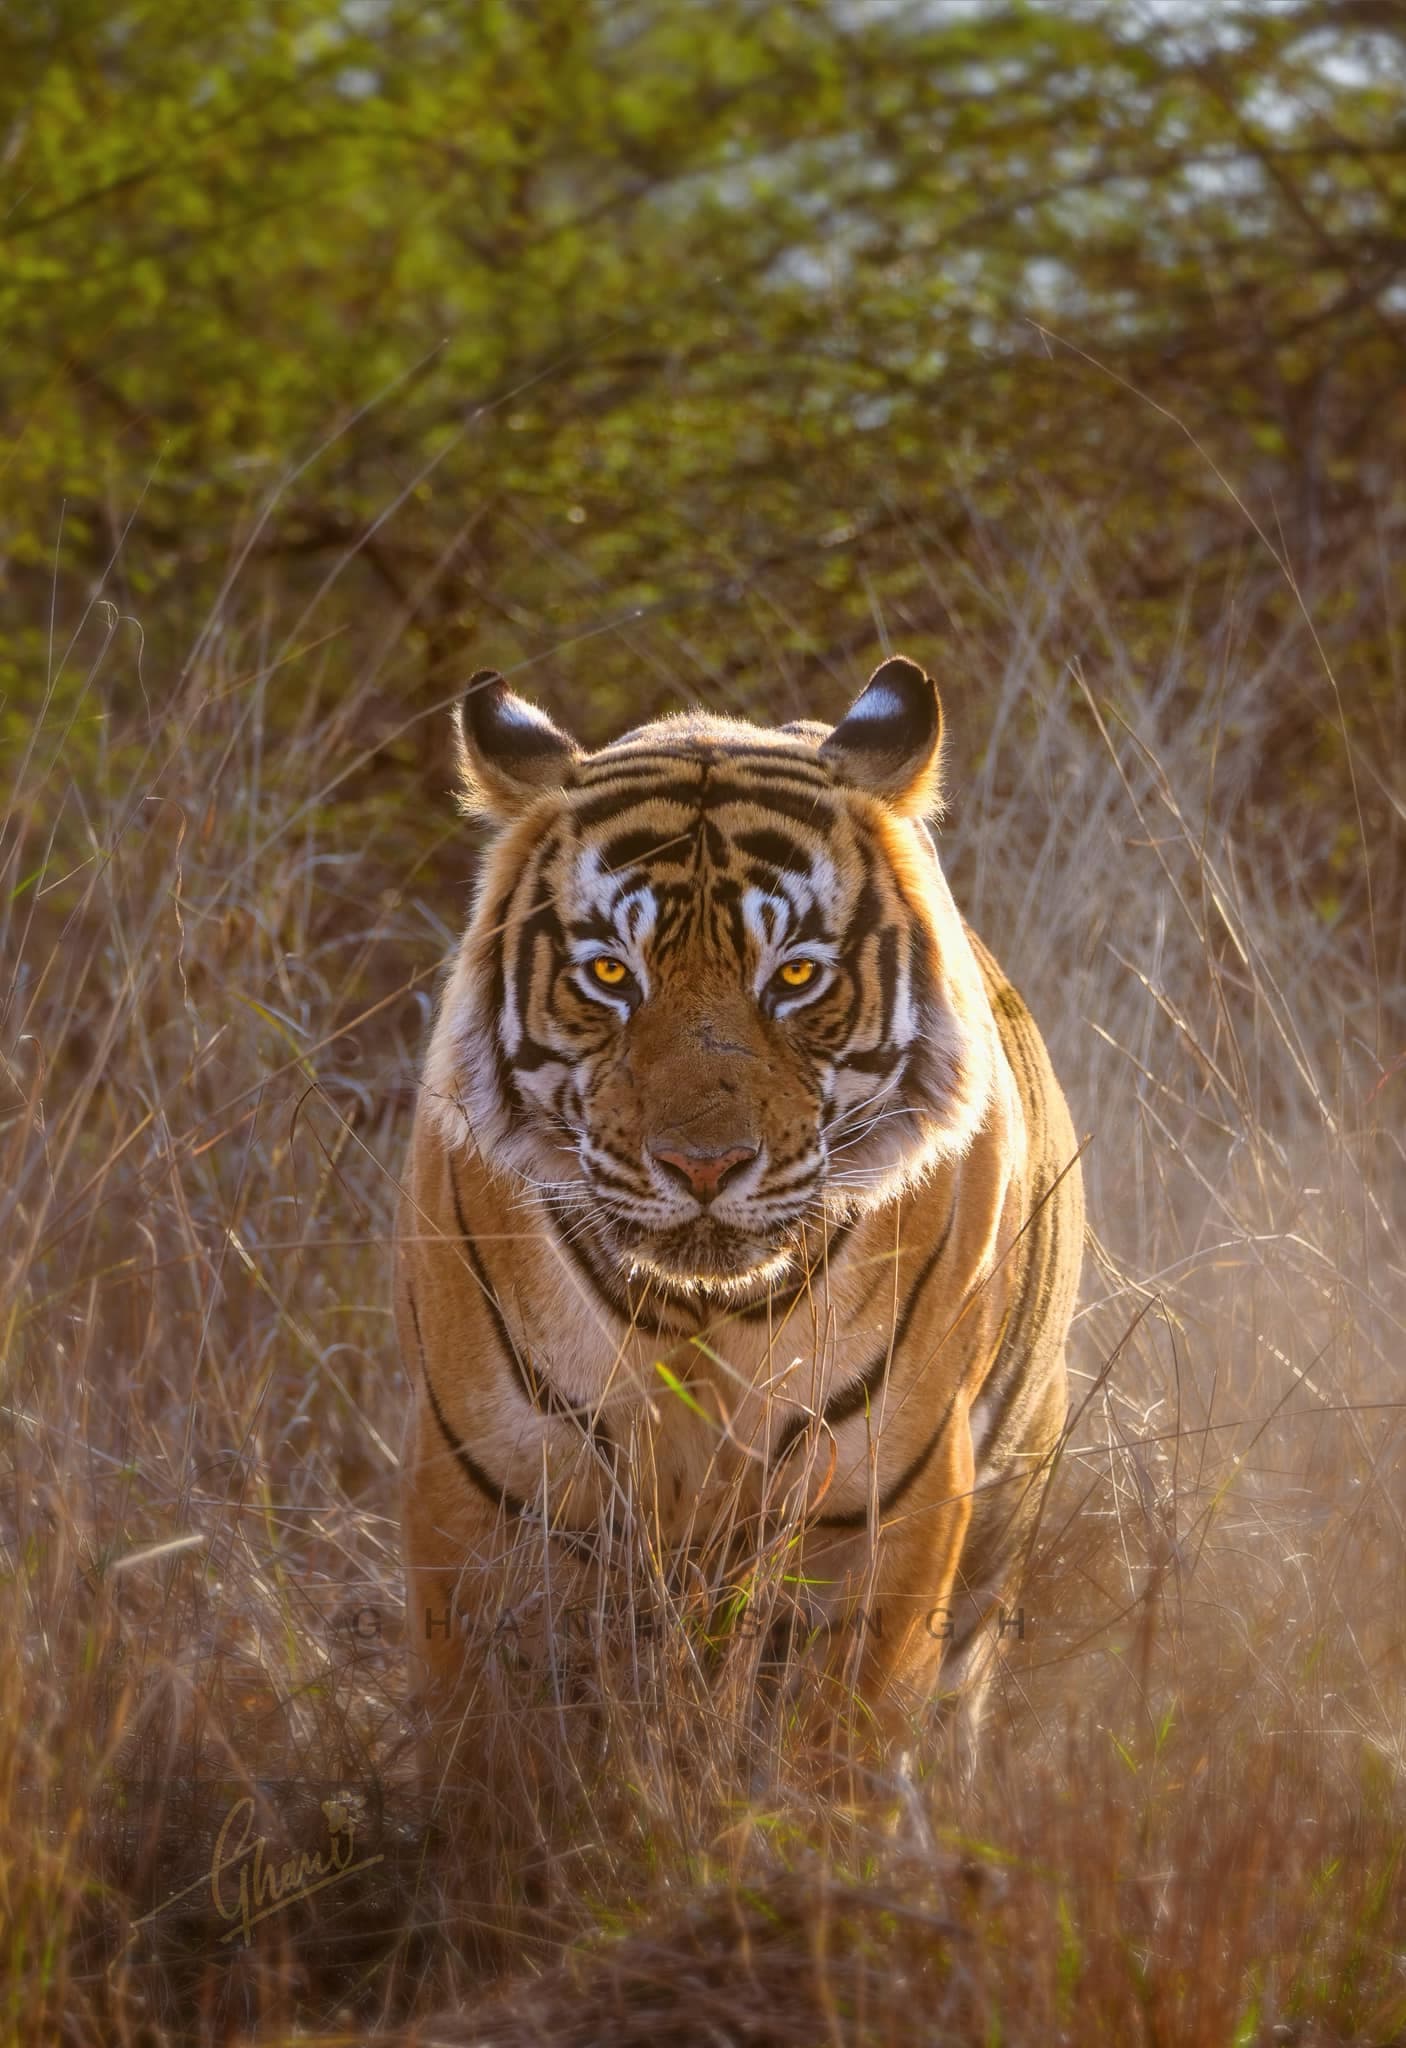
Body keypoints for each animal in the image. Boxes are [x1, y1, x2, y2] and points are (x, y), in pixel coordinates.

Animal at [395, 656, 1084, 1788]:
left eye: (794, 974)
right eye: (611, 973)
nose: (703, 1166)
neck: (698, 1315)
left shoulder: (873, 1512)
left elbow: (830, 1757)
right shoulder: (490, 1495)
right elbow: (494, 1755)